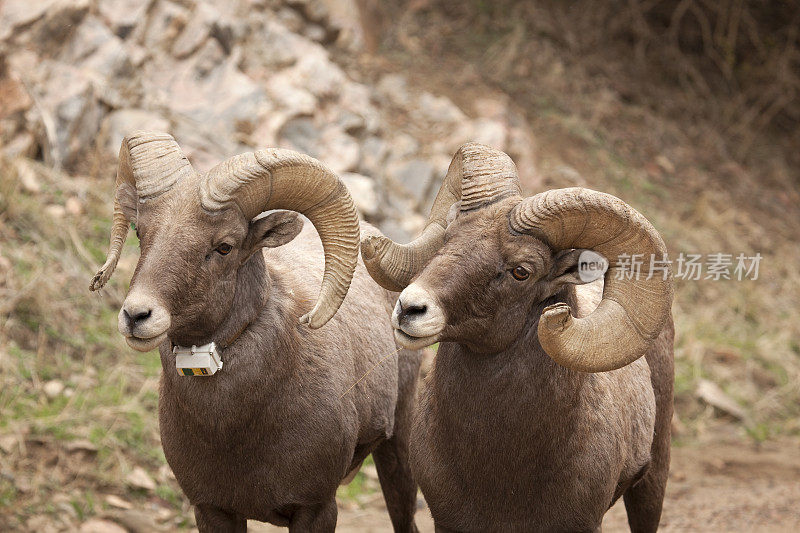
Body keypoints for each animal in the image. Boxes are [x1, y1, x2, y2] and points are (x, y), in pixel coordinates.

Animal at [90, 131, 422, 528]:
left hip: (398, 449)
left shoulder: (316, 508)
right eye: (141, 233)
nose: (136, 315)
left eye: (224, 246)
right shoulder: (213, 510)